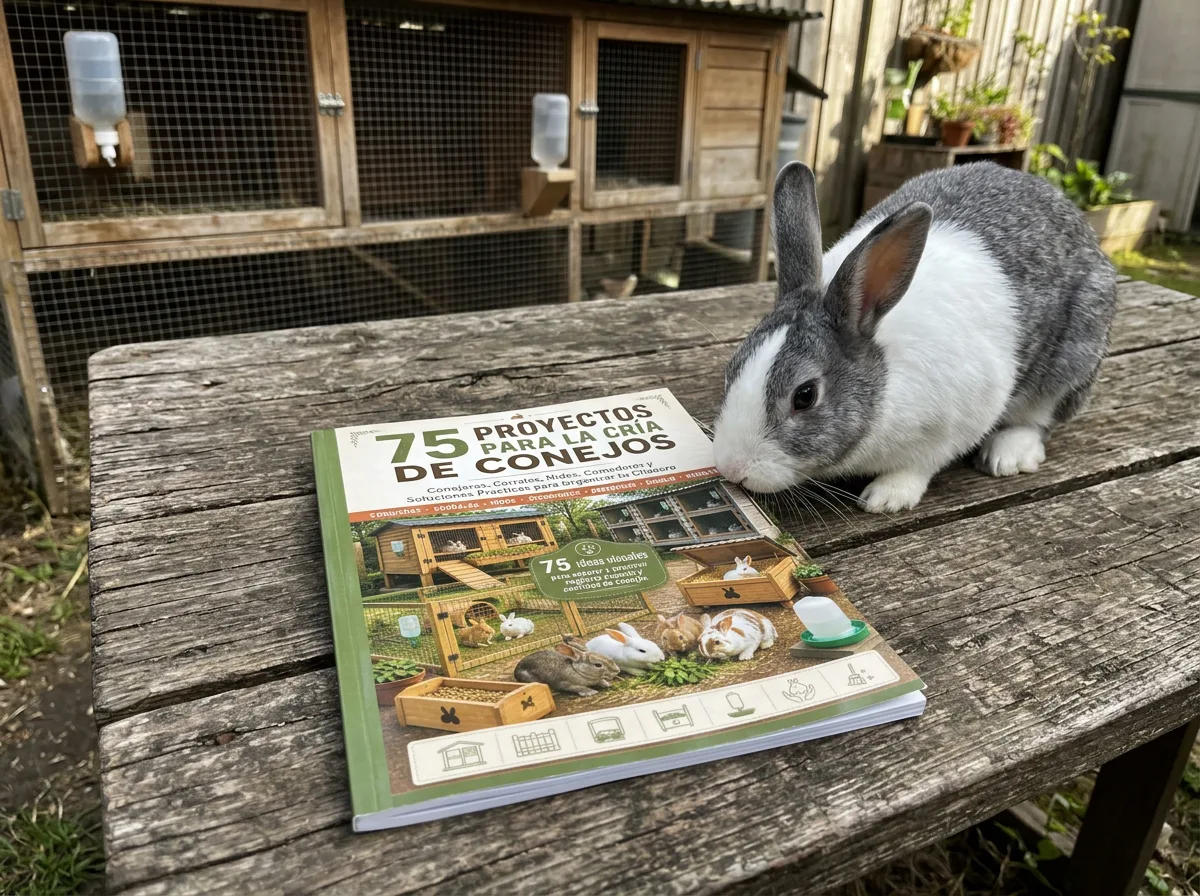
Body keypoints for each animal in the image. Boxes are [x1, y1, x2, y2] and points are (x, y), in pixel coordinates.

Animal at [712, 161, 1116, 514]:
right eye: (732, 369)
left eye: (805, 396)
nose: (733, 469)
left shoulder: (956, 423)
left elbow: (920, 466)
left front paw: (886, 497)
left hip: (1072, 359)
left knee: (1039, 418)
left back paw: (1007, 455)